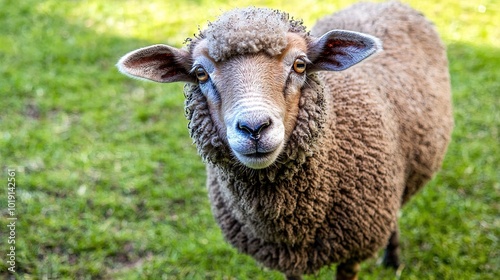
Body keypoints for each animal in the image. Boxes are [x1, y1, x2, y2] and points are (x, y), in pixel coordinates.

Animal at [117, 2, 454, 280]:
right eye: (200, 73)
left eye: (300, 64)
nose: (254, 127)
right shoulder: (285, 259)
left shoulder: (352, 252)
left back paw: (393, 260)